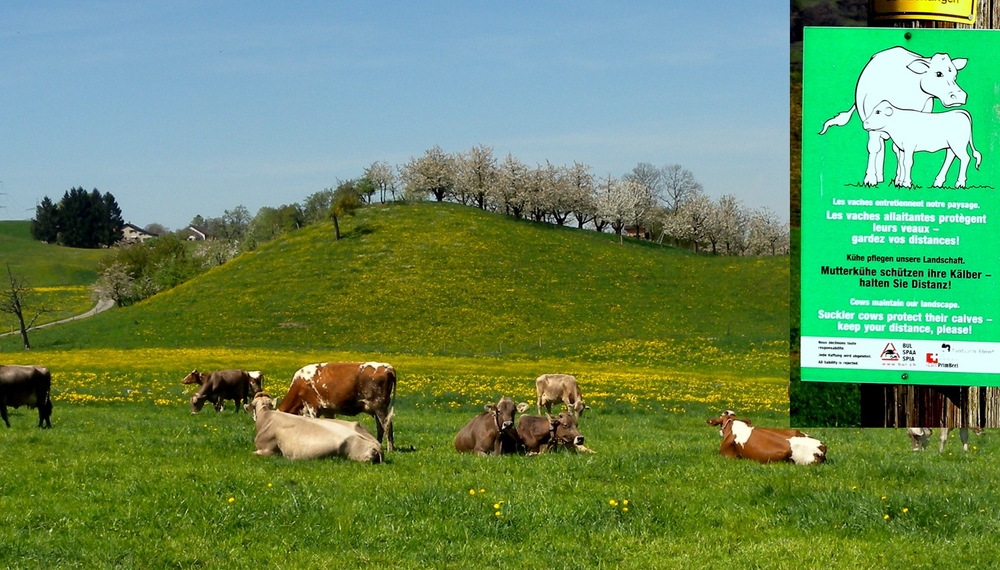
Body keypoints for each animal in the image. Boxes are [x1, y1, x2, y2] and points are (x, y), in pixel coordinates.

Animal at [820, 47, 968, 184]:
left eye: (955, 76)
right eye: (938, 73)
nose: (959, 96)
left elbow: (901, 153)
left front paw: (901, 180)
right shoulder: (874, 124)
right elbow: (874, 148)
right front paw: (870, 178)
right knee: (880, 147)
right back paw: (879, 177)